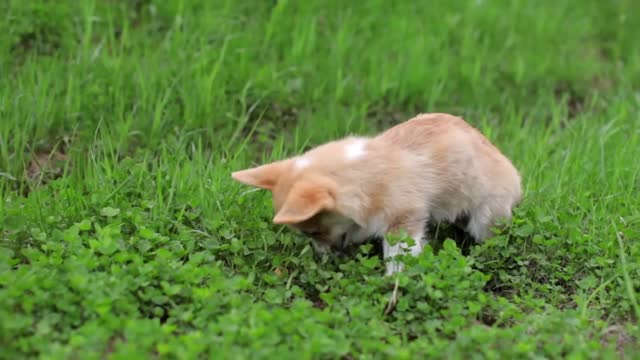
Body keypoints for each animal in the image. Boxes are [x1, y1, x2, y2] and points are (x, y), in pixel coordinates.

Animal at [232, 114, 524, 274]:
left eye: (313, 231)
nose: (322, 258)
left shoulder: (403, 221)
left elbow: (399, 255)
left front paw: (396, 279)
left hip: (486, 216)